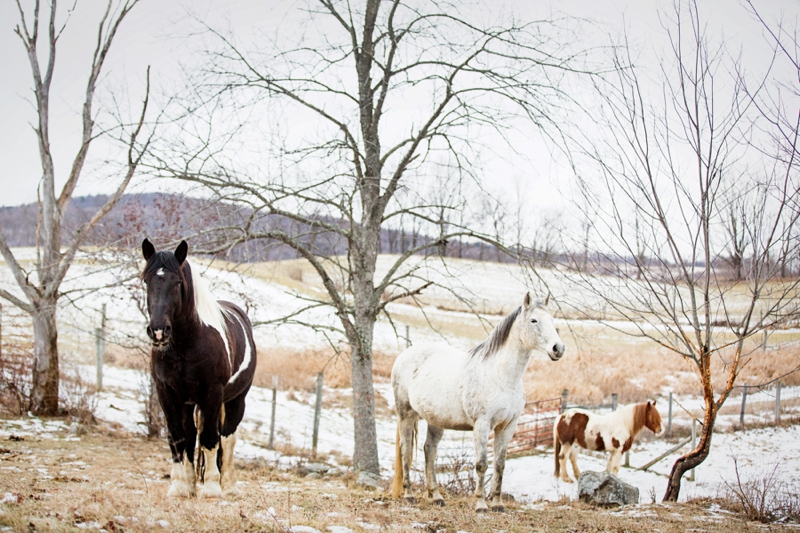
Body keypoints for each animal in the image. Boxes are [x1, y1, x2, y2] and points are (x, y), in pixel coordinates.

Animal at [141, 239, 256, 496]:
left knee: (227, 437)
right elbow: (178, 438)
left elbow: (210, 438)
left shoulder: (212, 393)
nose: (159, 331)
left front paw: (212, 487)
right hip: (189, 402)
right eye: (146, 281)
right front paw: (179, 486)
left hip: (236, 400)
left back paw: (228, 485)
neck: (186, 344)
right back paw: (192, 483)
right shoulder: (168, 394)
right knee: (192, 435)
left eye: (177, 282)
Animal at [390, 294, 564, 510]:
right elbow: (482, 464)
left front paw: (497, 504)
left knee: (429, 450)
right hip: (406, 414)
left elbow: (499, 464)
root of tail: (405, 354)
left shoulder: (508, 427)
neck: (501, 377)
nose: (558, 348)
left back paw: (437, 496)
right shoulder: (482, 425)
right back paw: (409, 494)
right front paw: (481, 504)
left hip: (436, 420)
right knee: (406, 450)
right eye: (534, 320)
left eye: (552, 321)